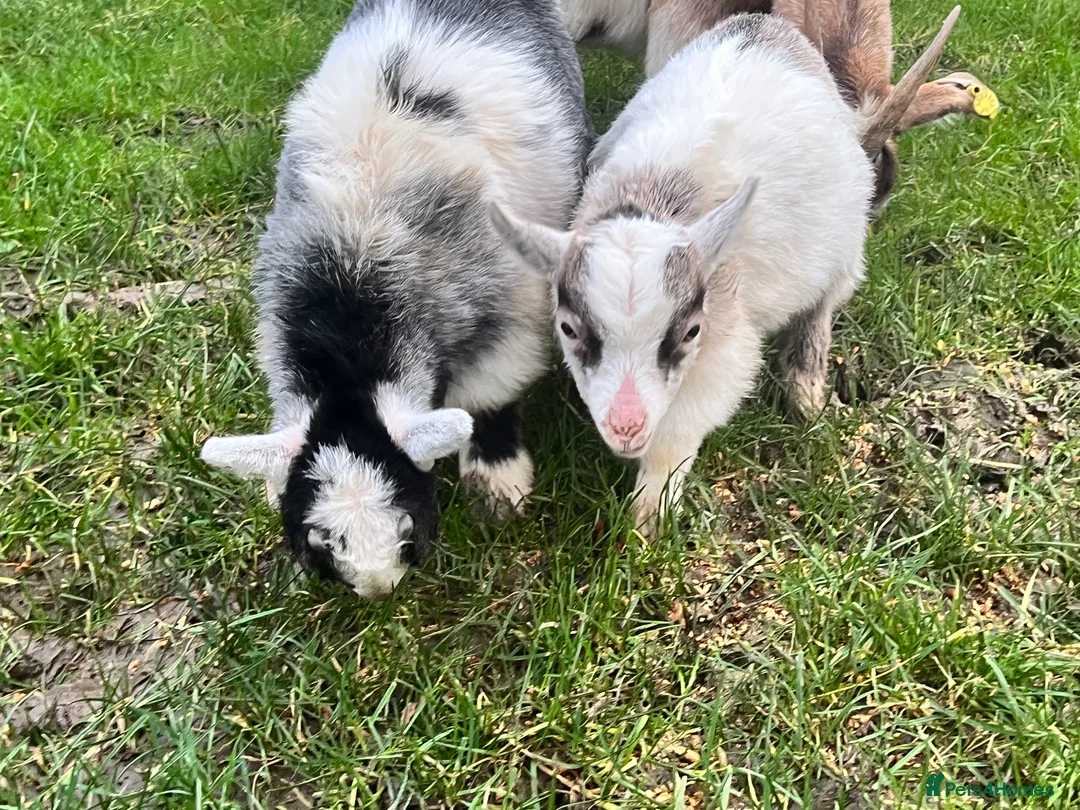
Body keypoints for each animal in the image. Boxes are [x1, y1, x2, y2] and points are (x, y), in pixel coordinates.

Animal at [200, 0, 592, 597]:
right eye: (321, 538)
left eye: (407, 523)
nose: (378, 588)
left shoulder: (509, 315)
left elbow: (489, 399)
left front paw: (497, 485)